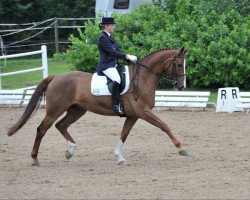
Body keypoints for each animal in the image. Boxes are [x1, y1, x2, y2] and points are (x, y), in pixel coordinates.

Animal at [7, 47, 188, 166]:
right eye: (179, 65)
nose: (182, 87)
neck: (143, 77)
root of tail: (55, 77)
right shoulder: (143, 112)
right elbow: (164, 126)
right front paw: (181, 148)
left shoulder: (133, 115)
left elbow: (124, 134)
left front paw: (119, 157)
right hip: (54, 110)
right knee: (42, 129)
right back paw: (35, 159)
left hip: (77, 110)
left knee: (61, 125)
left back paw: (70, 151)